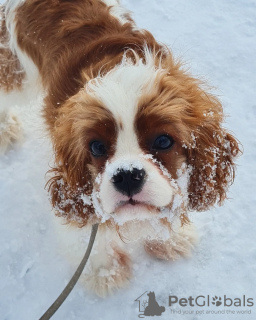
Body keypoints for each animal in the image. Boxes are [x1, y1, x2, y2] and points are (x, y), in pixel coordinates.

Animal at [0, 0, 240, 296]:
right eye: (96, 146)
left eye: (163, 141)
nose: (127, 176)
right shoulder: (83, 190)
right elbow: (86, 235)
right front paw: (105, 272)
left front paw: (171, 239)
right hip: (18, 71)